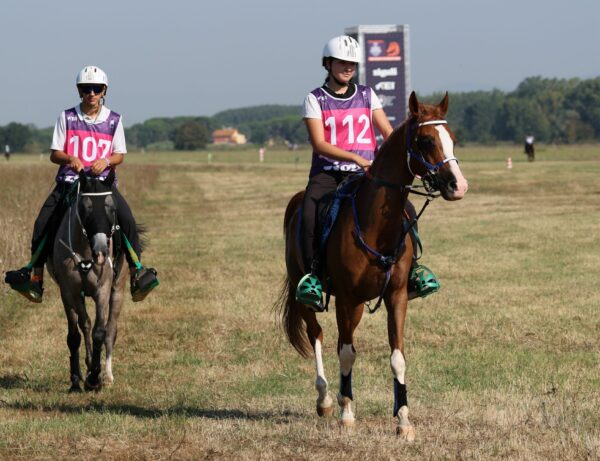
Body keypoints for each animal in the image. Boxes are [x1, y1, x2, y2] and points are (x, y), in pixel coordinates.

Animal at [276, 90, 468, 438]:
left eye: (452, 138)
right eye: (425, 140)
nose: (458, 186)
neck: (375, 226)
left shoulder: (397, 296)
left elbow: (397, 357)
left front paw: (404, 421)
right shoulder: (348, 299)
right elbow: (347, 354)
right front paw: (347, 414)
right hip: (307, 295)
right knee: (317, 335)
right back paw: (326, 400)